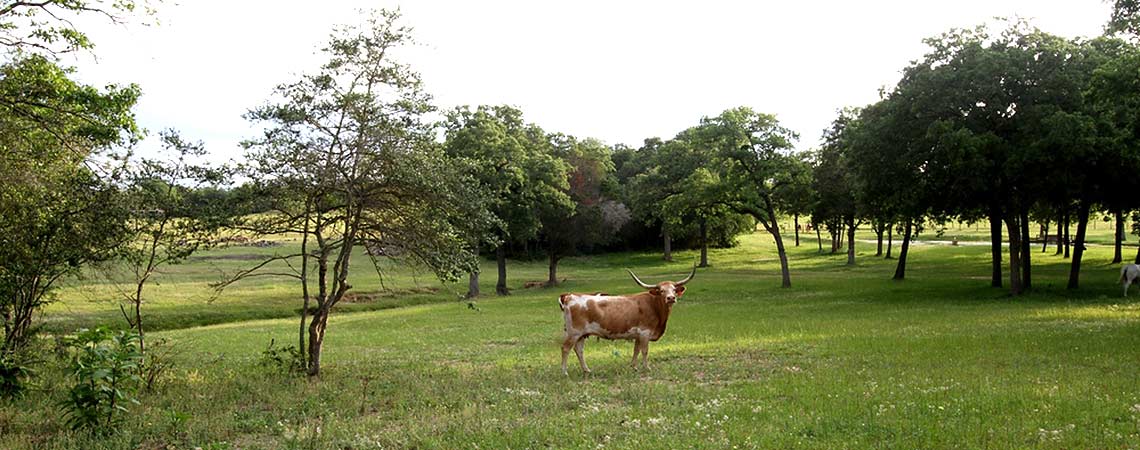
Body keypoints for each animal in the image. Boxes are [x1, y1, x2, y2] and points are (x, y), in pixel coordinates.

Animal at [558, 266, 695, 376]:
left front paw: (633, 367)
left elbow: (636, 350)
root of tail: (570, 296)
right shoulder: (645, 332)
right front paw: (647, 368)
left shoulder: (638, 335)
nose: (671, 298)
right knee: (565, 348)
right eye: (661, 291)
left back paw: (587, 370)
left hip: (581, 334)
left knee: (579, 350)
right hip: (574, 332)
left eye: (674, 290)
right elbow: (645, 351)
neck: (654, 305)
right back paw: (564, 372)